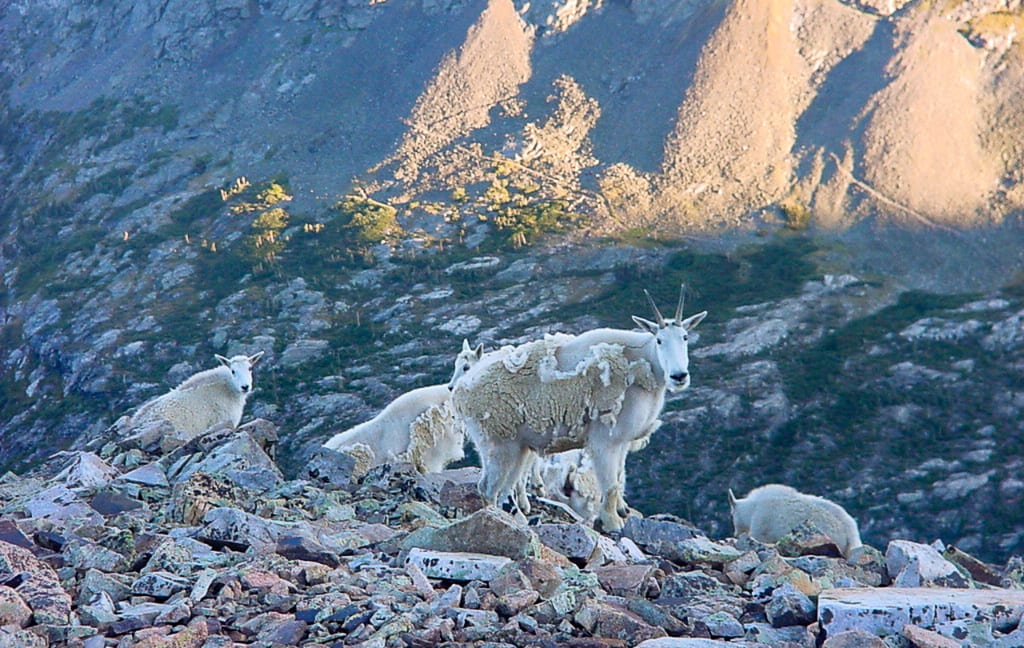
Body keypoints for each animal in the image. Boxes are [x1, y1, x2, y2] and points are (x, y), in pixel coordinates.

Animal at [452, 288, 708, 532]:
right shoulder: (605, 439)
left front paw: (620, 512)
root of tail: (461, 392)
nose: (679, 376)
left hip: (518, 448)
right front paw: (613, 523)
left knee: (505, 488)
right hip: (498, 444)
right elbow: (610, 485)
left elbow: (618, 477)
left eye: (685, 337)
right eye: (659, 340)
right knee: (487, 488)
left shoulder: (622, 441)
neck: (644, 365)